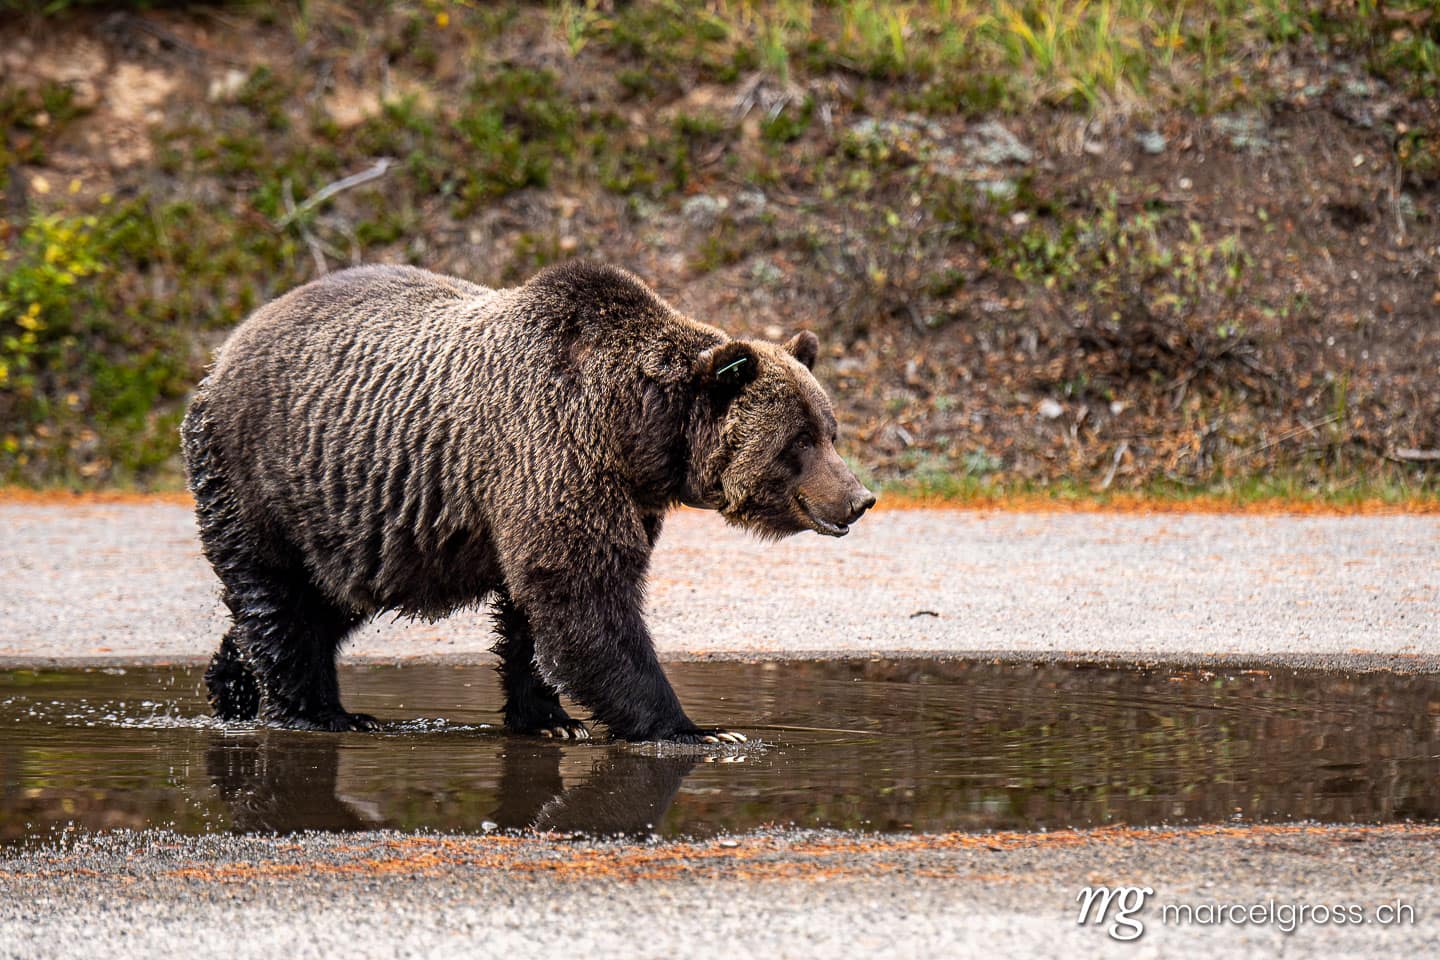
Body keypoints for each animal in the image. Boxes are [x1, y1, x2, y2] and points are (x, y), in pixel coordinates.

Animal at [181, 261, 875, 742]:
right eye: (799, 441)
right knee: (278, 592)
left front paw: (549, 716)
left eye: (830, 430)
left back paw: (233, 684)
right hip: (264, 476)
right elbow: (585, 598)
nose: (860, 498)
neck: (637, 434)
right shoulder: (552, 448)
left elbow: (536, 607)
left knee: (327, 600)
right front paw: (695, 728)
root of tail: (223, 353)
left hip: (356, 527)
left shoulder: (605, 495)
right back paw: (320, 713)